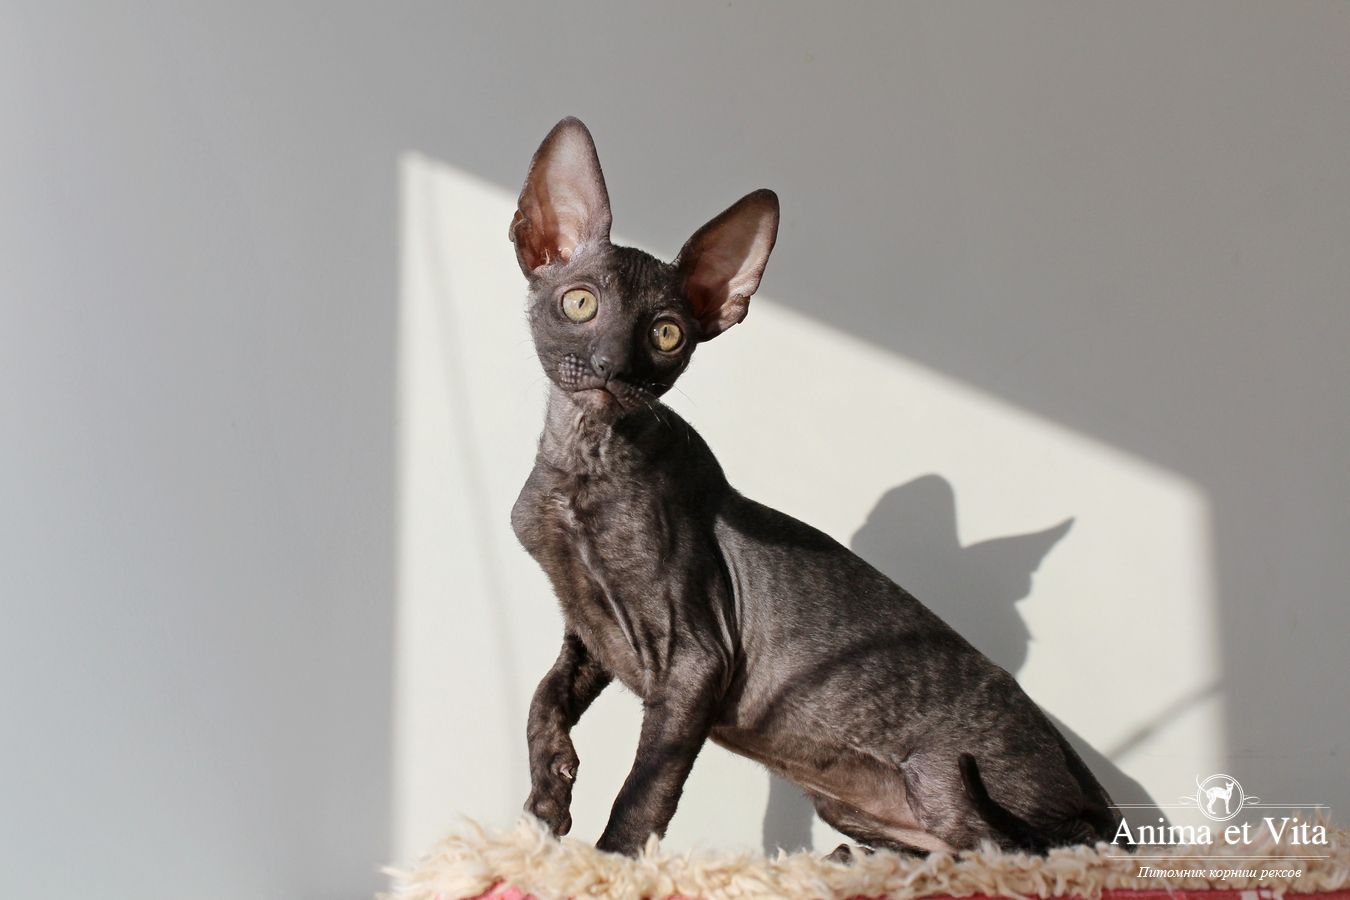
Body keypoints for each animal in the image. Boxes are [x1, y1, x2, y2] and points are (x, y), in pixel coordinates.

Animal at [507, 117, 1120, 857]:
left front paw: (608, 863)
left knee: (1019, 848)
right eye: (579, 303)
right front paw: (546, 797)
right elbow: (544, 695)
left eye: (666, 334)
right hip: (854, 801)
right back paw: (854, 860)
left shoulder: (695, 660)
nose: (611, 367)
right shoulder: (588, 627)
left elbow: (647, 788)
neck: (582, 464)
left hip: (954, 778)